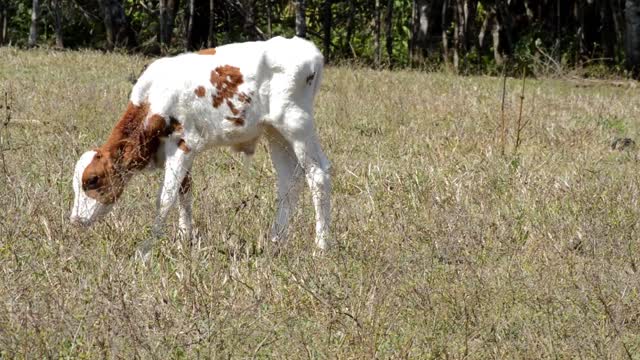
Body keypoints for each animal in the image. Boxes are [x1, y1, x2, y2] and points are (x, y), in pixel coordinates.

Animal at [69, 36, 330, 258]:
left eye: (92, 180)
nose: (75, 220)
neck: (153, 101)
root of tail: (308, 48)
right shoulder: (183, 151)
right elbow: (184, 193)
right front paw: (184, 241)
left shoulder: (182, 145)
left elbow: (165, 198)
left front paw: (145, 250)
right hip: (275, 133)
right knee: (289, 180)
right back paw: (276, 241)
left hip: (297, 125)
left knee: (318, 175)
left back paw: (321, 247)